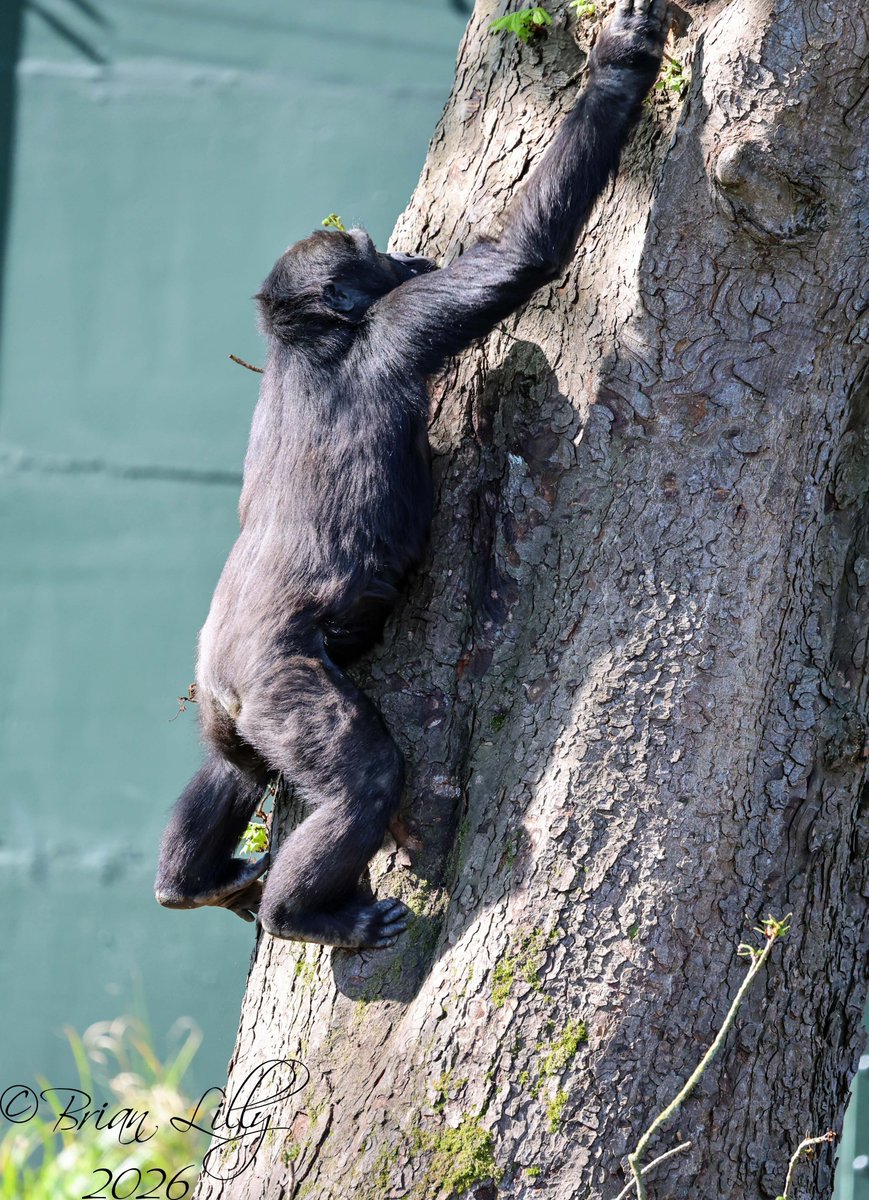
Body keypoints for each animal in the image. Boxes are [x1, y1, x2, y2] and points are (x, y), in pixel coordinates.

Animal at [154, 0, 670, 949]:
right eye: (374, 257)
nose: (404, 257)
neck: (310, 341)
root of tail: (226, 680)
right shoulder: (402, 327)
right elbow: (520, 256)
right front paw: (621, 61)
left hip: (225, 710)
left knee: (231, 771)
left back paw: (190, 884)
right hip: (283, 685)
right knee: (361, 779)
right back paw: (305, 915)